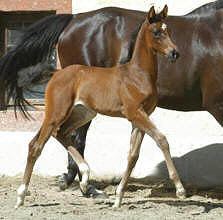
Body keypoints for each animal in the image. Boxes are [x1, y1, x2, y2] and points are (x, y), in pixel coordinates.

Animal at [15, 4, 186, 208]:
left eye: (168, 31)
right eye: (156, 32)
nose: (175, 53)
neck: (138, 74)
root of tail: (56, 73)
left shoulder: (141, 118)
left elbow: (133, 156)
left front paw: (118, 198)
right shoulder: (135, 113)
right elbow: (162, 140)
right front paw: (180, 190)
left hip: (84, 113)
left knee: (61, 133)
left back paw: (85, 177)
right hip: (56, 113)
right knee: (36, 145)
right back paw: (21, 196)